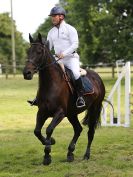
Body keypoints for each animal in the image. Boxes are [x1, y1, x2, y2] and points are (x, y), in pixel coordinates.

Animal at [22, 33, 105, 166]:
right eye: (28, 51)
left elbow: (49, 129)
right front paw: (50, 142)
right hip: (72, 114)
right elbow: (37, 131)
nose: (26, 73)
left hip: (94, 109)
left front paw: (47, 153)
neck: (51, 84)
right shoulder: (42, 112)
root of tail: (97, 77)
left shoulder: (60, 113)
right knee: (78, 129)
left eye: (39, 51)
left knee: (90, 132)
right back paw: (70, 153)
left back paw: (86, 155)